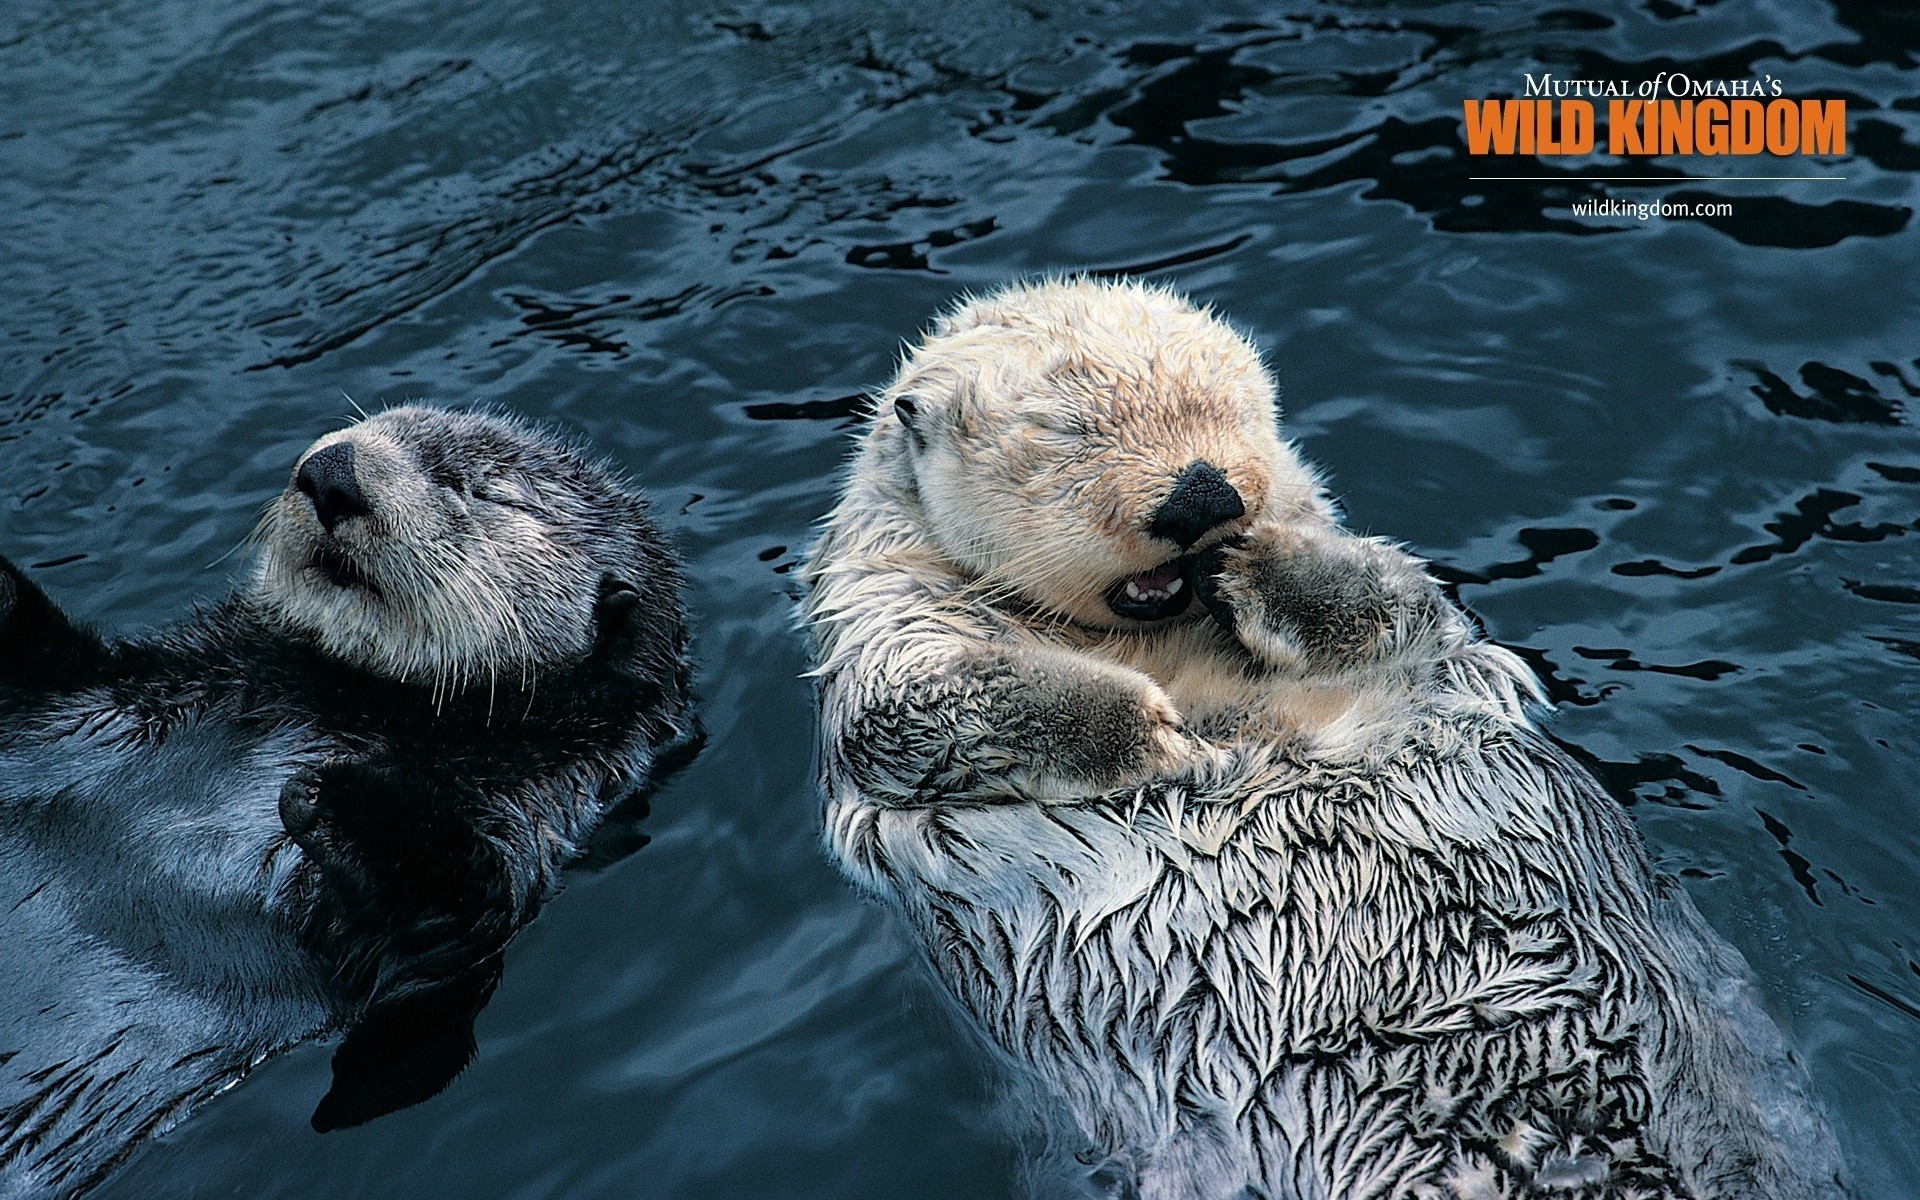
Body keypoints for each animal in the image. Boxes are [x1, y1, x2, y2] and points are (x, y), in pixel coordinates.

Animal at [0, 405, 691, 1198]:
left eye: (480, 489)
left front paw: (337, 799)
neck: (349, 700)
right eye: (371, 422)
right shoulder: (111, 690)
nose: (332, 471)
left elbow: (447, 909)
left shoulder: (524, 820)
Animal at [798, 280, 1843, 1198]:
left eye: (1230, 408)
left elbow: (1395, 601)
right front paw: (1159, 736)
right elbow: (916, 708)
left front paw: (1258, 568)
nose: (1203, 498)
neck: (1160, 642)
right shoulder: (883, 625)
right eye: (1068, 434)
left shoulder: (1413, 630)